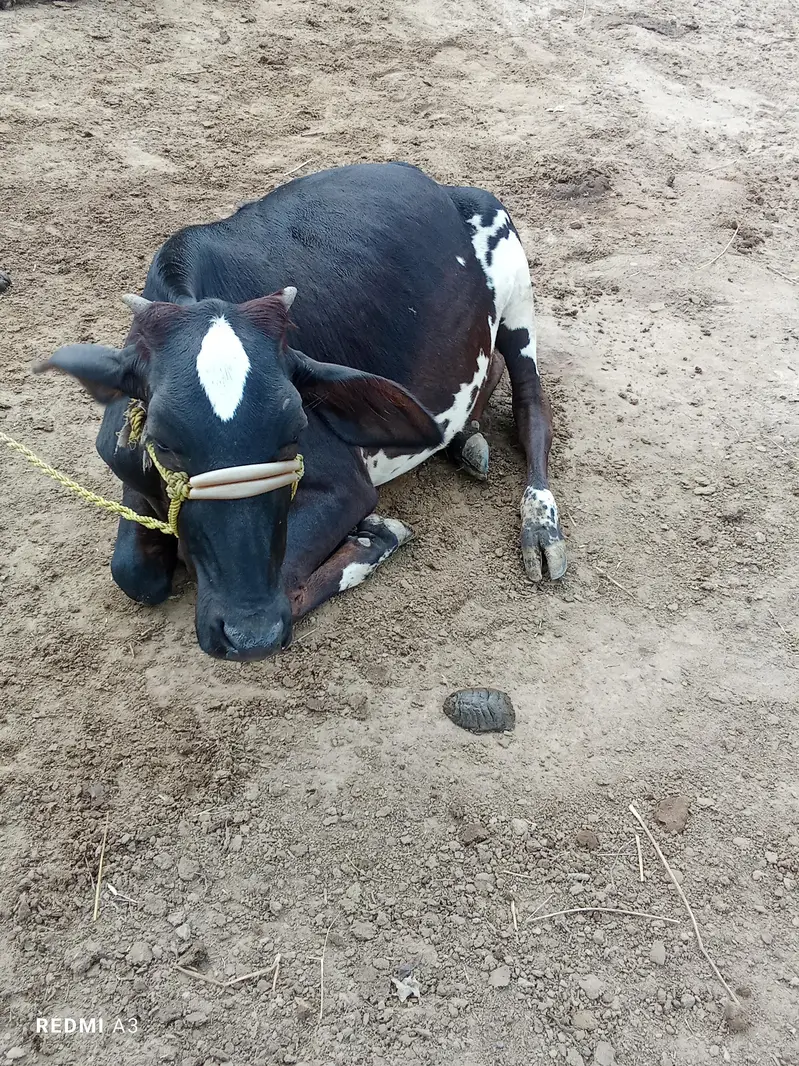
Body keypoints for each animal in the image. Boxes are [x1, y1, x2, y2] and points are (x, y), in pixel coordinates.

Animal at [38, 162, 567, 660]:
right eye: (161, 443)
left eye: (295, 431)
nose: (249, 634)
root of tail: (433, 181)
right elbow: (131, 573)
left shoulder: (345, 488)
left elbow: (292, 581)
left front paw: (376, 536)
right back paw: (466, 438)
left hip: (514, 283)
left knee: (533, 407)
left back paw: (540, 526)